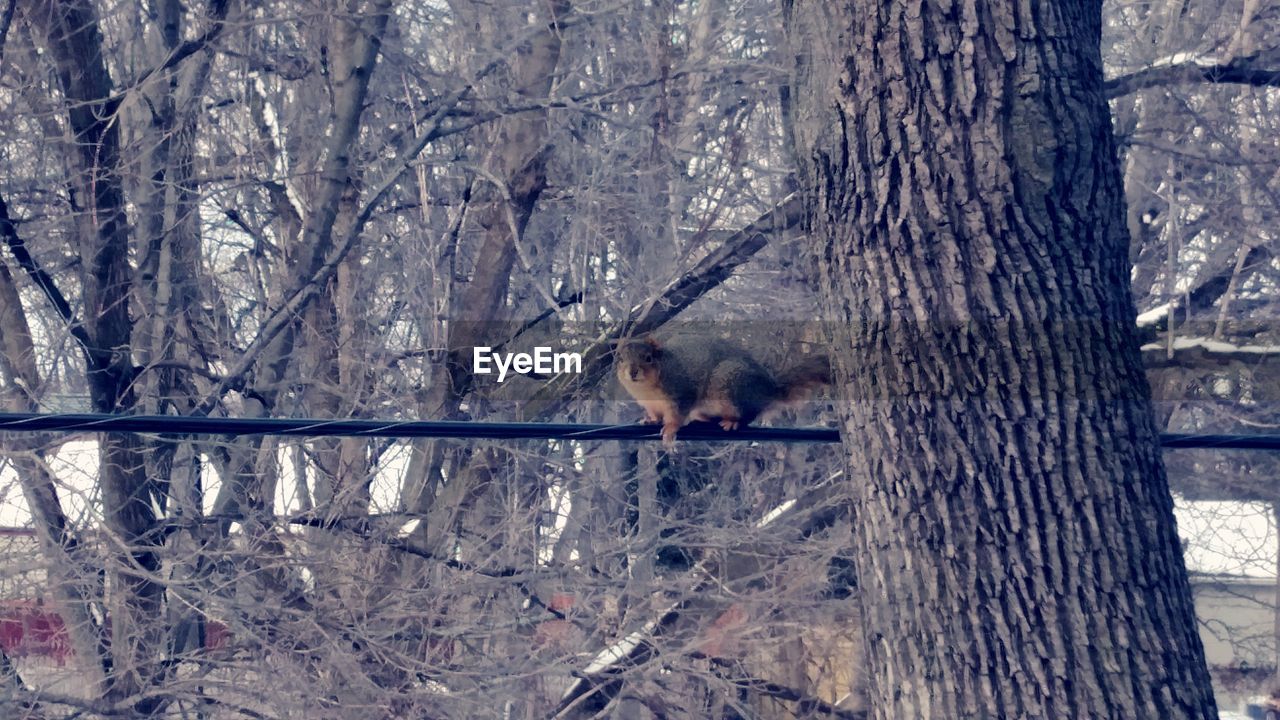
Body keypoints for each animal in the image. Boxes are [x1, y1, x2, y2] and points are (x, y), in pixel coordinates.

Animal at [616, 335, 834, 445]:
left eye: (648, 358)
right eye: (620, 358)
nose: (632, 371)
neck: (646, 390)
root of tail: (769, 389)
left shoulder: (681, 392)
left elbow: (676, 415)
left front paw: (670, 430)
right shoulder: (650, 403)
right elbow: (654, 413)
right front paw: (650, 420)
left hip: (730, 385)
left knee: (747, 416)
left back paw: (732, 422)